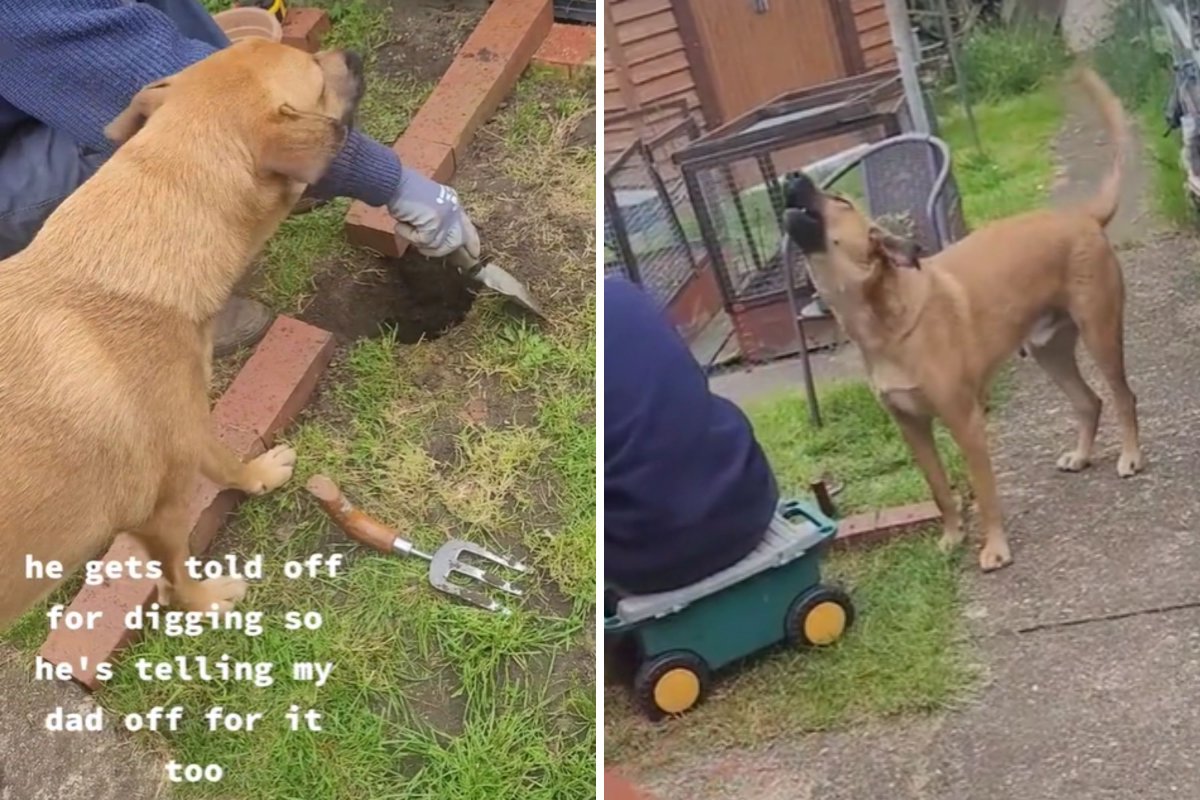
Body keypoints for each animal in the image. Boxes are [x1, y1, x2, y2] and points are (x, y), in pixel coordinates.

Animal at [0, 40, 364, 633]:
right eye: (315, 74)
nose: (351, 53)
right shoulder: (160, 507)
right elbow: (174, 575)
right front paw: (205, 602)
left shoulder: (190, 422)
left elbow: (225, 459)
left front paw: (258, 473)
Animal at [782, 67, 1137, 568]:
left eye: (840, 201)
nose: (790, 174)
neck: (882, 323)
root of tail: (1084, 216)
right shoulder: (911, 427)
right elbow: (940, 490)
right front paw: (952, 536)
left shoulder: (965, 420)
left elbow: (985, 492)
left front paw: (995, 548)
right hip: (1050, 350)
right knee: (1090, 402)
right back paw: (1082, 455)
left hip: (1100, 334)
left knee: (1124, 397)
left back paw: (1131, 457)